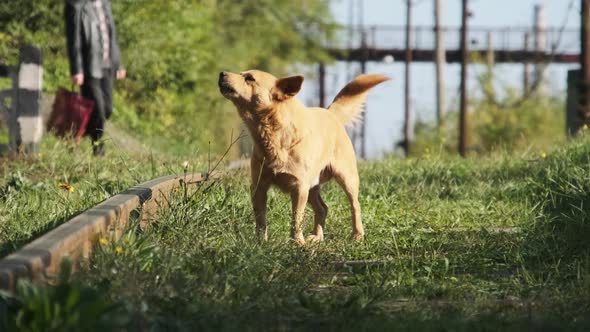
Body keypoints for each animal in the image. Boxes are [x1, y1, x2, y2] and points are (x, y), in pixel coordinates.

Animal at [220, 69, 390, 244]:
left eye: (250, 78)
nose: (222, 73)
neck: (271, 135)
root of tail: (330, 112)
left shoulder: (299, 187)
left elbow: (296, 218)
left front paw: (297, 243)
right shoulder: (259, 187)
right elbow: (261, 219)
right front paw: (261, 243)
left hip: (346, 178)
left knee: (355, 205)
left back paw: (357, 235)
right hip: (312, 186)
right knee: (322, 208)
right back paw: (317, 237)